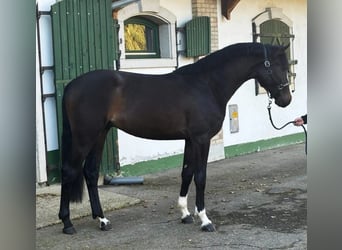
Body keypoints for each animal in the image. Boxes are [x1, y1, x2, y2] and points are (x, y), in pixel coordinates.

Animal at [58, 41, 292, 234]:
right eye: (279, 67)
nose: (286, 100)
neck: (206, 84)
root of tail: (71, 86)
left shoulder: (189, 140)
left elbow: (186, 173)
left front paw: (185, 214)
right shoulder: (201, 139)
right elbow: (200, 177)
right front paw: (205, 220)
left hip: (100, 134)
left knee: (90, 172)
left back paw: (102, 220)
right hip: (84, 138)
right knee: (69, 171)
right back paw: (67, 223)